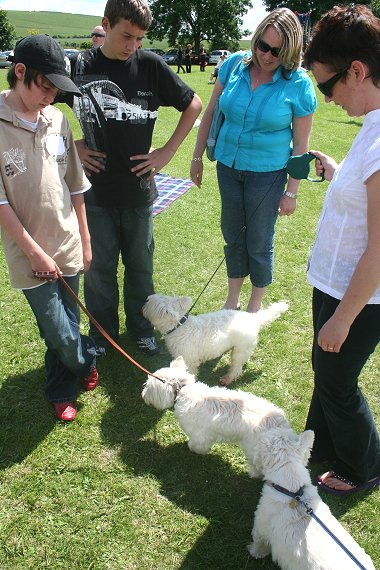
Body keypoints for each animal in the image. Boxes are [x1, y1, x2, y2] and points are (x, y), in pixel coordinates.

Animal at [142, 296, 288, 384]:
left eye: (149, 302)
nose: (144, 301)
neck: (179, 325)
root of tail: (254, 318)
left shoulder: (189, 359)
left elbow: (190, 372)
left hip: (239, 350)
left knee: (236, 368)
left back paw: (227, 379)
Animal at [142, 358, 290, 478]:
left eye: (147, 387)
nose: (142, 396)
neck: (183, 391)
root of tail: (279, 424)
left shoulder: (200, 435)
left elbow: (196, 445)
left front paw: (195, 450)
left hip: (254, 450)